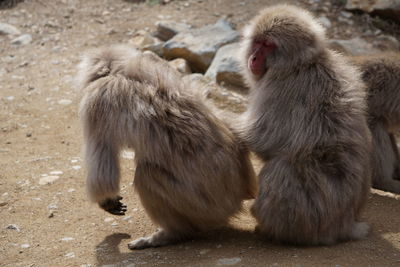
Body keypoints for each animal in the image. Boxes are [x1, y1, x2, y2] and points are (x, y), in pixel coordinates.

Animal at [77, 45, 258, 249]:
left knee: (147, 174)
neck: (125, 72)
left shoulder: (97, 100)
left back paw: (172, 234)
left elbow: (103, 159)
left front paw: (106, 200)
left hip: (206, 206)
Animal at [238, 4, 372, 247]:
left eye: (268, 45)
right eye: (257, 42)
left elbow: (262, 137)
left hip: (310, 214)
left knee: (280, 169)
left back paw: (272, 230)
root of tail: (346, 225)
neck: (302, 64)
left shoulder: (280, 89)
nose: (253, 57)